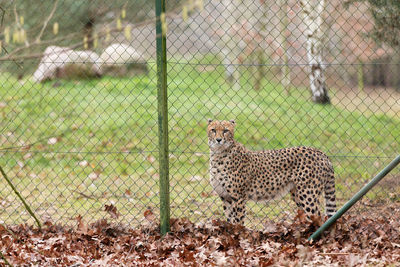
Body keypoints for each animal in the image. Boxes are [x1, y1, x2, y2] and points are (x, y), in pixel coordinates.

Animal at [208, 119, 336, 224]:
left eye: (226, 130)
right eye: (213, 130)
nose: (218, 140)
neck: (218, 154)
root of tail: (320, 152)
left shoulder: (238, 197)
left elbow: (237, 221)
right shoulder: (226, 197)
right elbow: (230, 220)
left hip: (307, 193)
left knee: (318, 218)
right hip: (297, 194)